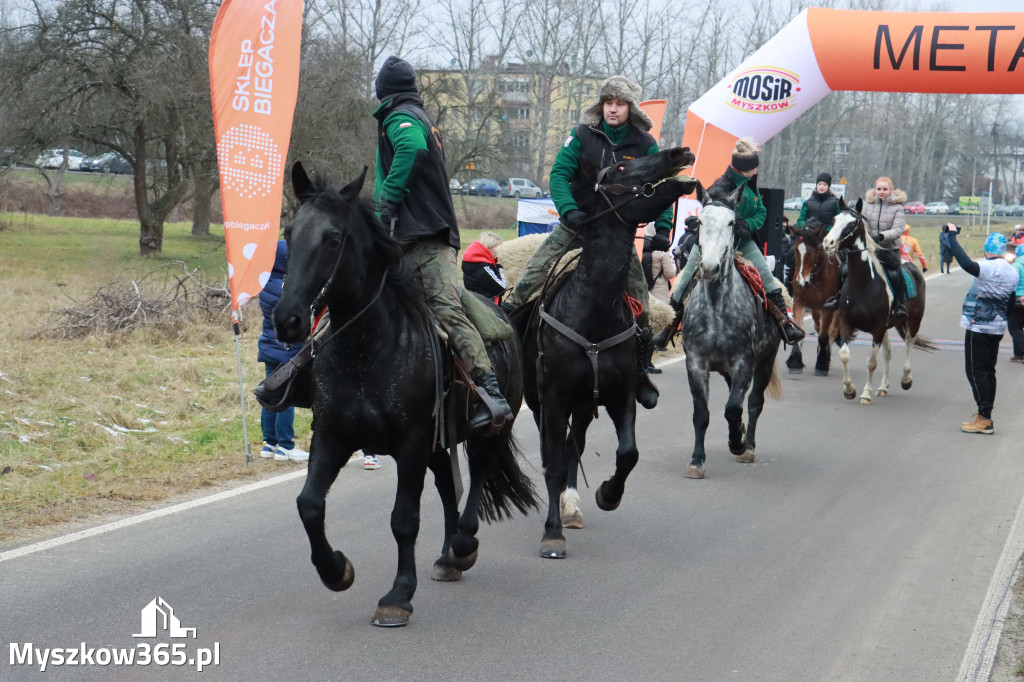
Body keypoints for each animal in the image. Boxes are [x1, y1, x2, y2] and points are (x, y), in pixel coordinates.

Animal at [276, 161, 540, 622]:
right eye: (289, 233)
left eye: (333, 238)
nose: (286, 319)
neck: (366, 348)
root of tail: (504, 312)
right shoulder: (332, 436)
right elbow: (309, 504)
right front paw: (336, 570)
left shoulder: (411, 442)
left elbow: (404, 518)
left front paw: (399, 594)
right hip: (439, 443)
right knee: (449, 488)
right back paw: (448, 556)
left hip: (490, 430)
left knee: (478, 477)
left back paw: (462, 546)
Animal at [512, 146, 696, 557]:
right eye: (622, 167)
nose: (680, 153)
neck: (591, 311)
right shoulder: (553, 399)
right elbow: (551, 461)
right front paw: (552, 533)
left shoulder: (619, 394)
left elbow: (628, 453)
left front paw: (608, 494)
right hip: (542, 401)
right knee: (557, 453)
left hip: (584, 405)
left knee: (574, 446)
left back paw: (572, 505)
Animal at [679, 182, 782, 477]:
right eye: (700, 221)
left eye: (731, 222)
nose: (710, 267)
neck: (716, 309)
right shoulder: (696, 363)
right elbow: (702, 414)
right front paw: (696, 461)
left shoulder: (744, 363)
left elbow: (734, 407)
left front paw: (738, 441)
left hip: (766, 359)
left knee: (754, 402)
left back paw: (748, 445)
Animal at [782, 219, 839, 374]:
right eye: (796, 250)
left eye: (812, 251)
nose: (802, 282)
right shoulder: (799, 303)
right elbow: (800, 330)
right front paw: (795, 362)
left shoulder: (828, 308)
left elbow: (825, 336)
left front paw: (822, 364)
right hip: (814, 310)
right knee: (818, 327)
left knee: (831, 332)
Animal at [815, 199, 937, 405]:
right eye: (835, 219)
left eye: (851, 224)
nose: (827, 243)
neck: (863, 284)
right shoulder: (846, 323)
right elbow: (845, 355)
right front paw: (849, 389)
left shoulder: (878, 328)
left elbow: (871, 362)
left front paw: (865, 394)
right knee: (888, 352)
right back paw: (883, 387)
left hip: (913, 320)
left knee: (909, 342)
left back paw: (906, 379)